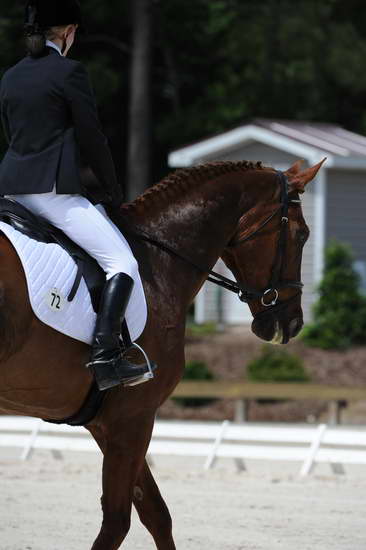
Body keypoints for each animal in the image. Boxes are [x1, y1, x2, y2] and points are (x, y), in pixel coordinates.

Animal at [0, 157, 324, 548]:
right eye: (302, 234)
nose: (291, 324)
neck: (158, 261)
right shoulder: (134, 416)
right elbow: (118, 520)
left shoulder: (110, 422)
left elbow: (156, 514)